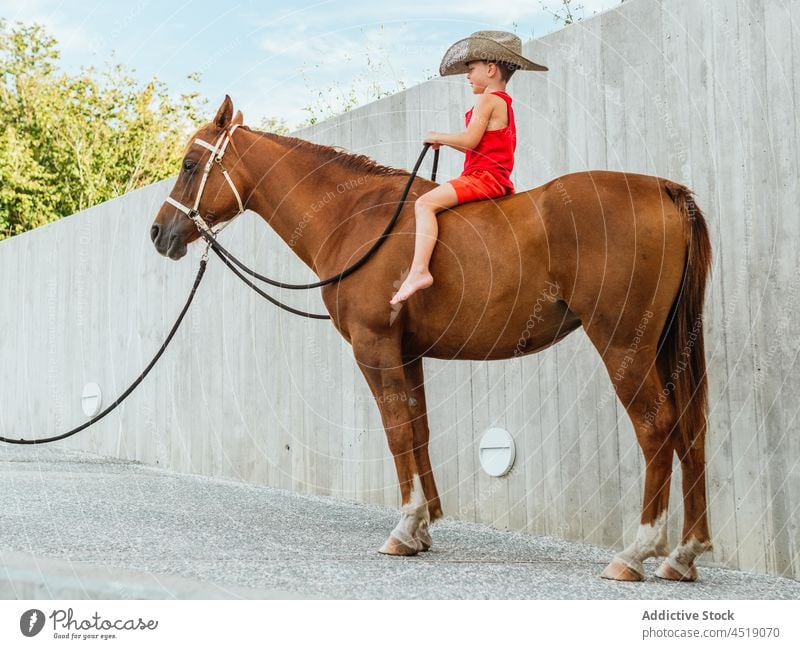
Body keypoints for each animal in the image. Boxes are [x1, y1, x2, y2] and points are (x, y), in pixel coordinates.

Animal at [150, 96, 712, 584]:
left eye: (189, 165)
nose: (159, 233)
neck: (355, 216)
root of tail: (665, 190)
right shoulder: (408, 354)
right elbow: (418, 430)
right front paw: (422, 528)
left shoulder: (374, 348)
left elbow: (397, 431)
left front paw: (404, 528)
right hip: (667, 347)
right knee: (691, 431)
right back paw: (684, 554)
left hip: (623, 344)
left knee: (657, 429)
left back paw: (638, 551)